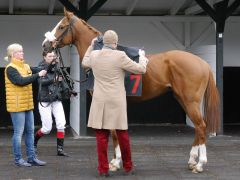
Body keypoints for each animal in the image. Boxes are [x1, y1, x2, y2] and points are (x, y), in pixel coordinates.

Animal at [42, 10, 219, 173]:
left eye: (61, 27)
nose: (45, 46)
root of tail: (202, 62)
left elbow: (113, 132)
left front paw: (115, 163)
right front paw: (115, 160)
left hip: (190, 101)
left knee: (201, 126)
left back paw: (200, 164)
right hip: (183, 99)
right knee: (198, 126)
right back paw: (192, 161)